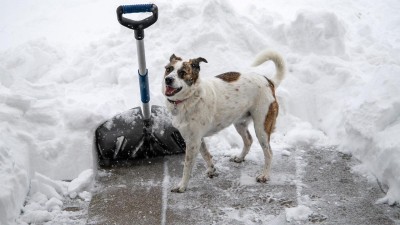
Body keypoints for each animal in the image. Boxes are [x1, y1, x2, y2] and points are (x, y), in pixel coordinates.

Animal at [162, 51, 284, 193]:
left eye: (182, 72)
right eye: (168, 69)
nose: (168, 79)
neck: (190, 98)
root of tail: (269, 81)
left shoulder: (193, 141)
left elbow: (187, 166)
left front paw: (182, 186)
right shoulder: (196, 139)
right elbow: (206, 154)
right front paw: (211, 169)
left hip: (261, 127)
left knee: (269, 152)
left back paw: (264, 175)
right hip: (240, 123)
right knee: (248, 140)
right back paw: (240, 158)